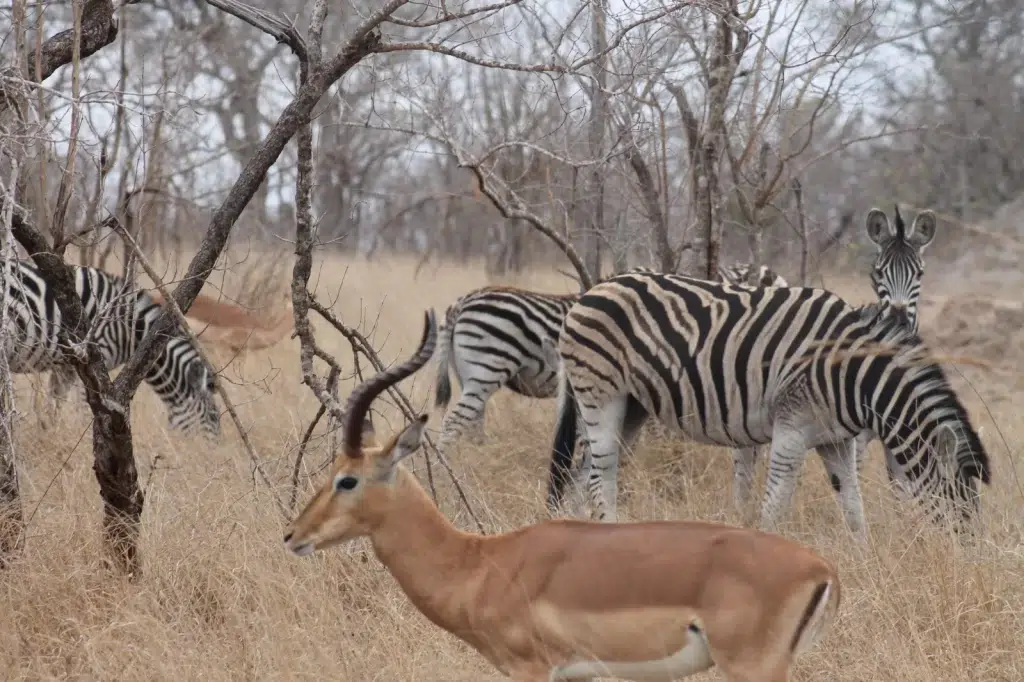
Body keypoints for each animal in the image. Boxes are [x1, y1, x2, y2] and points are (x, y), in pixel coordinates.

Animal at [4, 260, 221, 436]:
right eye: (213, 416)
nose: (216, 450)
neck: (130, 329)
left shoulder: (66, 365)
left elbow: (55, 404)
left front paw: (50, 434)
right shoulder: (94, 357)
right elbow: (86, 411)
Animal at [548, 268, 987, 532]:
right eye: (959, 509)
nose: (965, 563)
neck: (853, 375)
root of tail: (591, 291)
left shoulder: (835, 439)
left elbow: (852, 504)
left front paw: (866, 562)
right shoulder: (791, 427)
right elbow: (775, 505)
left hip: (633, 406)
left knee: (582, 473)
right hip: (601, 391)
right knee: (599, 474)